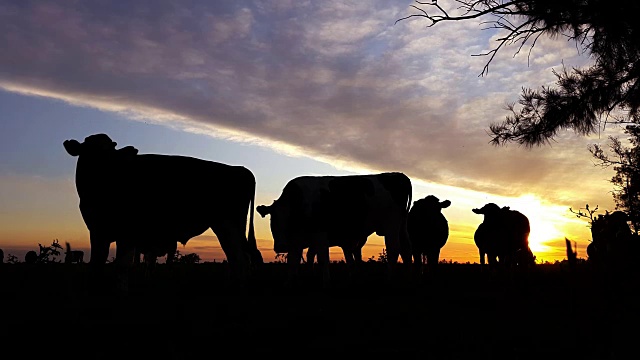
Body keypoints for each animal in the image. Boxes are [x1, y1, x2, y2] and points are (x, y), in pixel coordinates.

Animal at [63, 134, 264, 292]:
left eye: (113, 151)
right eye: (88, 150)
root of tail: (240, 169)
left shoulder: (127, 233)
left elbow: (122, 267)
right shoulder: (97, 232)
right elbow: (95, 265)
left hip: (228, 224)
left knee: (241, 259)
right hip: (225, 227)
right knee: (237, 258)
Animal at [258, 172, 412, 286]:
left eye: (291, 219)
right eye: (273, 220)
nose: (282, 246)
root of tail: (398, 175)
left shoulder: (320, 234)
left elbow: (322, 258)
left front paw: (326, 281)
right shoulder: (297, 240)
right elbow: (293, 260)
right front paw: (290, 282)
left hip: (391, 224)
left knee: (393, 249)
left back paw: (388, 279)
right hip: (402, 226)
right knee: (406, 249)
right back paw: (408, 277)